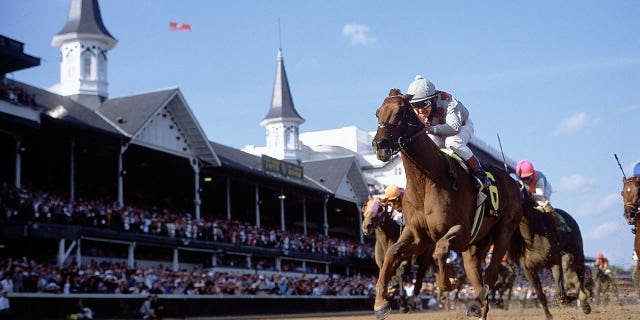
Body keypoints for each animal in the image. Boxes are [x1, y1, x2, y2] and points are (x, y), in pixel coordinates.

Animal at [370, 90, 524, 320]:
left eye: (400, 112)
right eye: (378, 112)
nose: (380, 145)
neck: (427, 180)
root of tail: (513, 182)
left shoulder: (461, 232)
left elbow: (441, 249)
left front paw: (448, 282)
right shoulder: (418, 236)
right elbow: (392, 252)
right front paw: (381, 302)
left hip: (503, 232)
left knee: (490, 275)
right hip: (476, 246)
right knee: (477, 278)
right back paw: (477, 307)